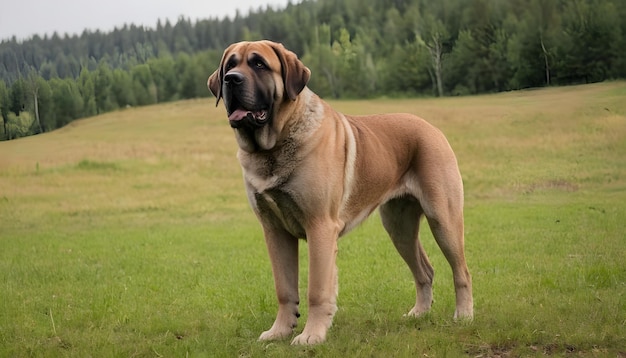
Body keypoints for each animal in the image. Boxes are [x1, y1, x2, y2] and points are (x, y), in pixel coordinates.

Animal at [207, 40, 470, 346]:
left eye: (258, 64)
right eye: (230, 65)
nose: (231, 79)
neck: (274, 144)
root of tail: (431, 128)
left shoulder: (320, 226)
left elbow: (317, 289)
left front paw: (311, 335)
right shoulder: (275, 231)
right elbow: (284, 288)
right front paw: (280, 331)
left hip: (443, 219)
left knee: (461, 270)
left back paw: (464, 315)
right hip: (399, 227)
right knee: (424, 270)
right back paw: (419, 313)